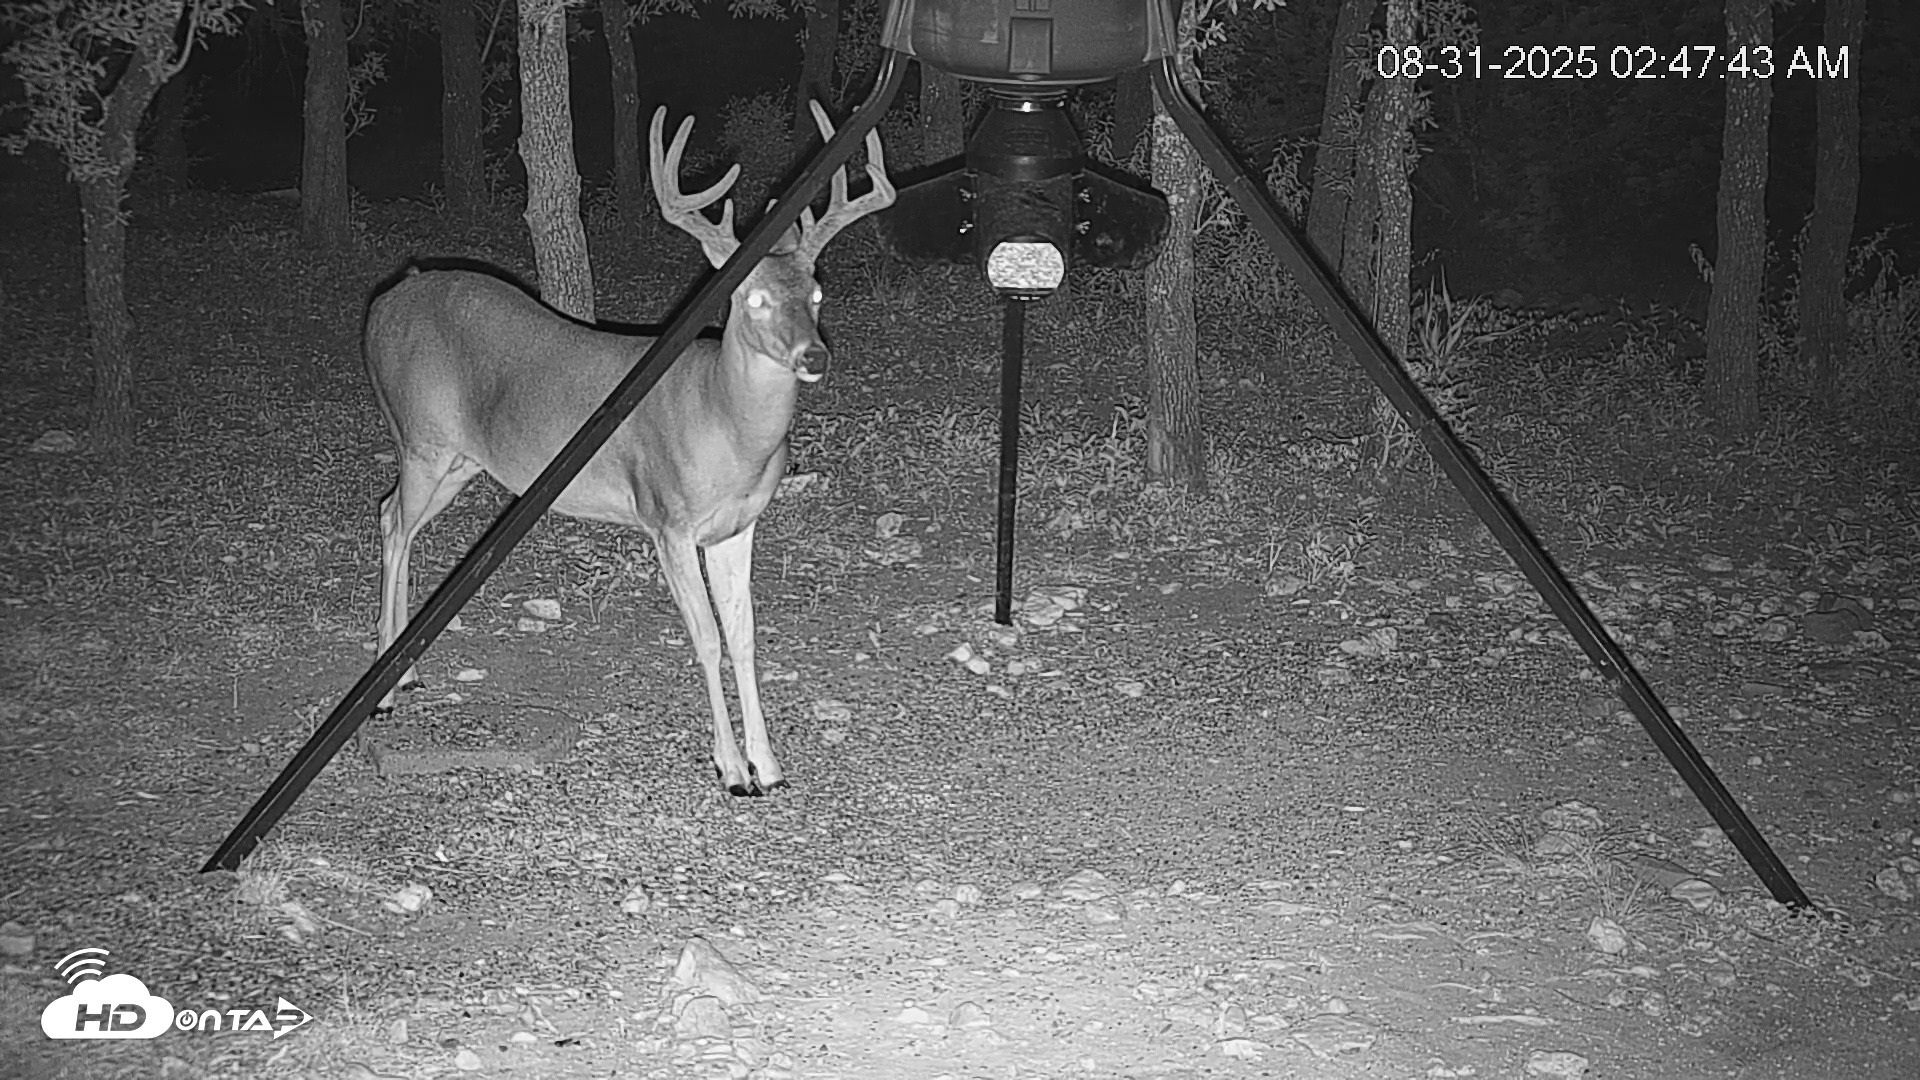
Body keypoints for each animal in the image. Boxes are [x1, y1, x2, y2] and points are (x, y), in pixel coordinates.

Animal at [362, 102, 892, 795]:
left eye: (817, 293)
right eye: (750, 298)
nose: (815, 356)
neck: (723, 424)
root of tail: (384, 300)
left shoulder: (737, 526)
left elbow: (745, 636)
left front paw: (769, 765)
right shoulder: (667, 518)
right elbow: (707, 639)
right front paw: (730, 769)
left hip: (459, 460)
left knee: (392, 516)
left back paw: (408, 672)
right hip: (420, 438)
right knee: (393, 522)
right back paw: (387, 687)